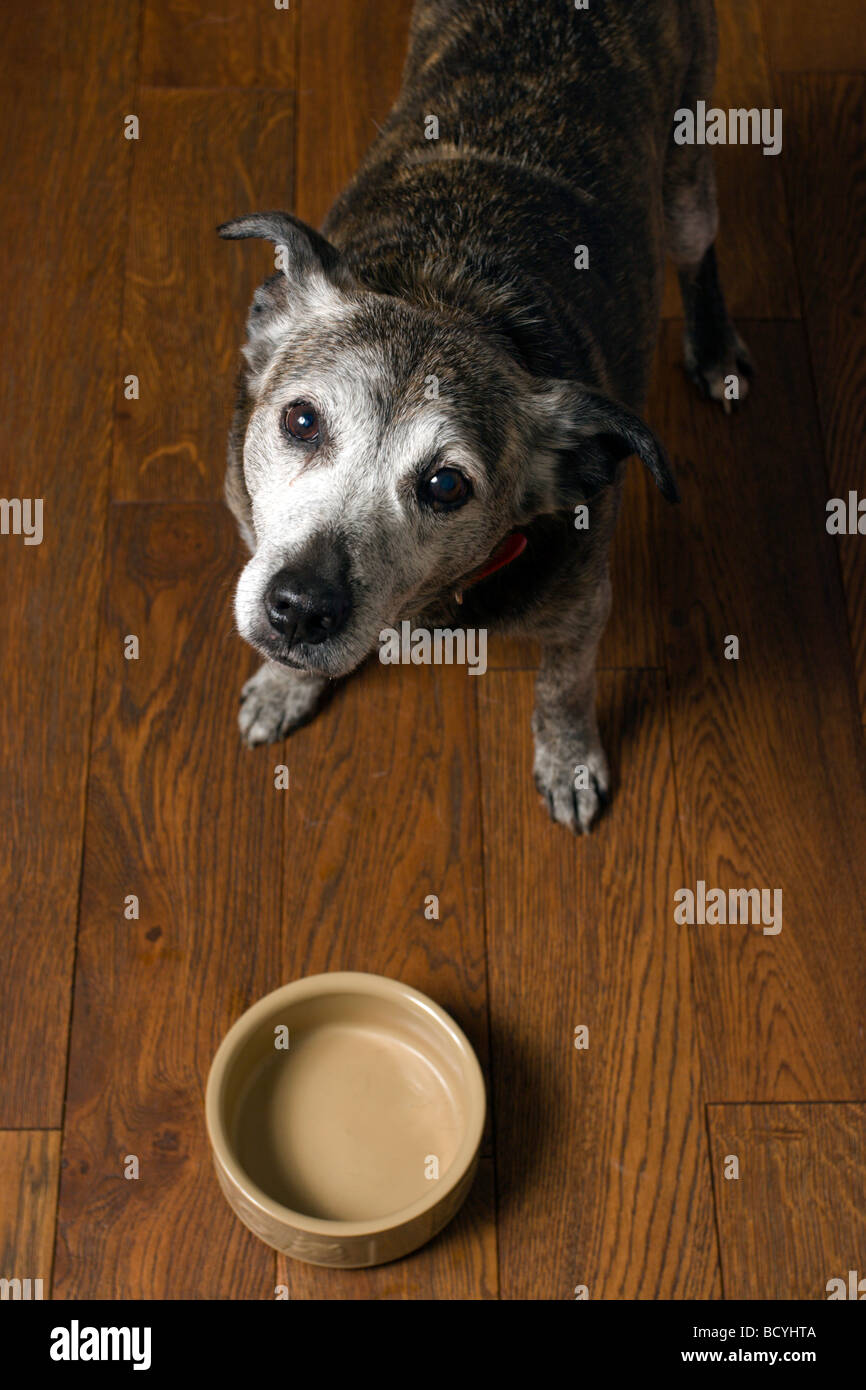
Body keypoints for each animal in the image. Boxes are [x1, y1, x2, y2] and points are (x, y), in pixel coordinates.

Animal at [218, 0, 750, 828]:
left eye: (446, 486)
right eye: (301, 421)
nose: (301, 608)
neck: (450, 295)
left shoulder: (581, 604)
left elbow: (563, 686)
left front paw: (569, 763)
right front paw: (283, 686)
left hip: (688, 167)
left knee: (699, 248)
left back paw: (716, 346)